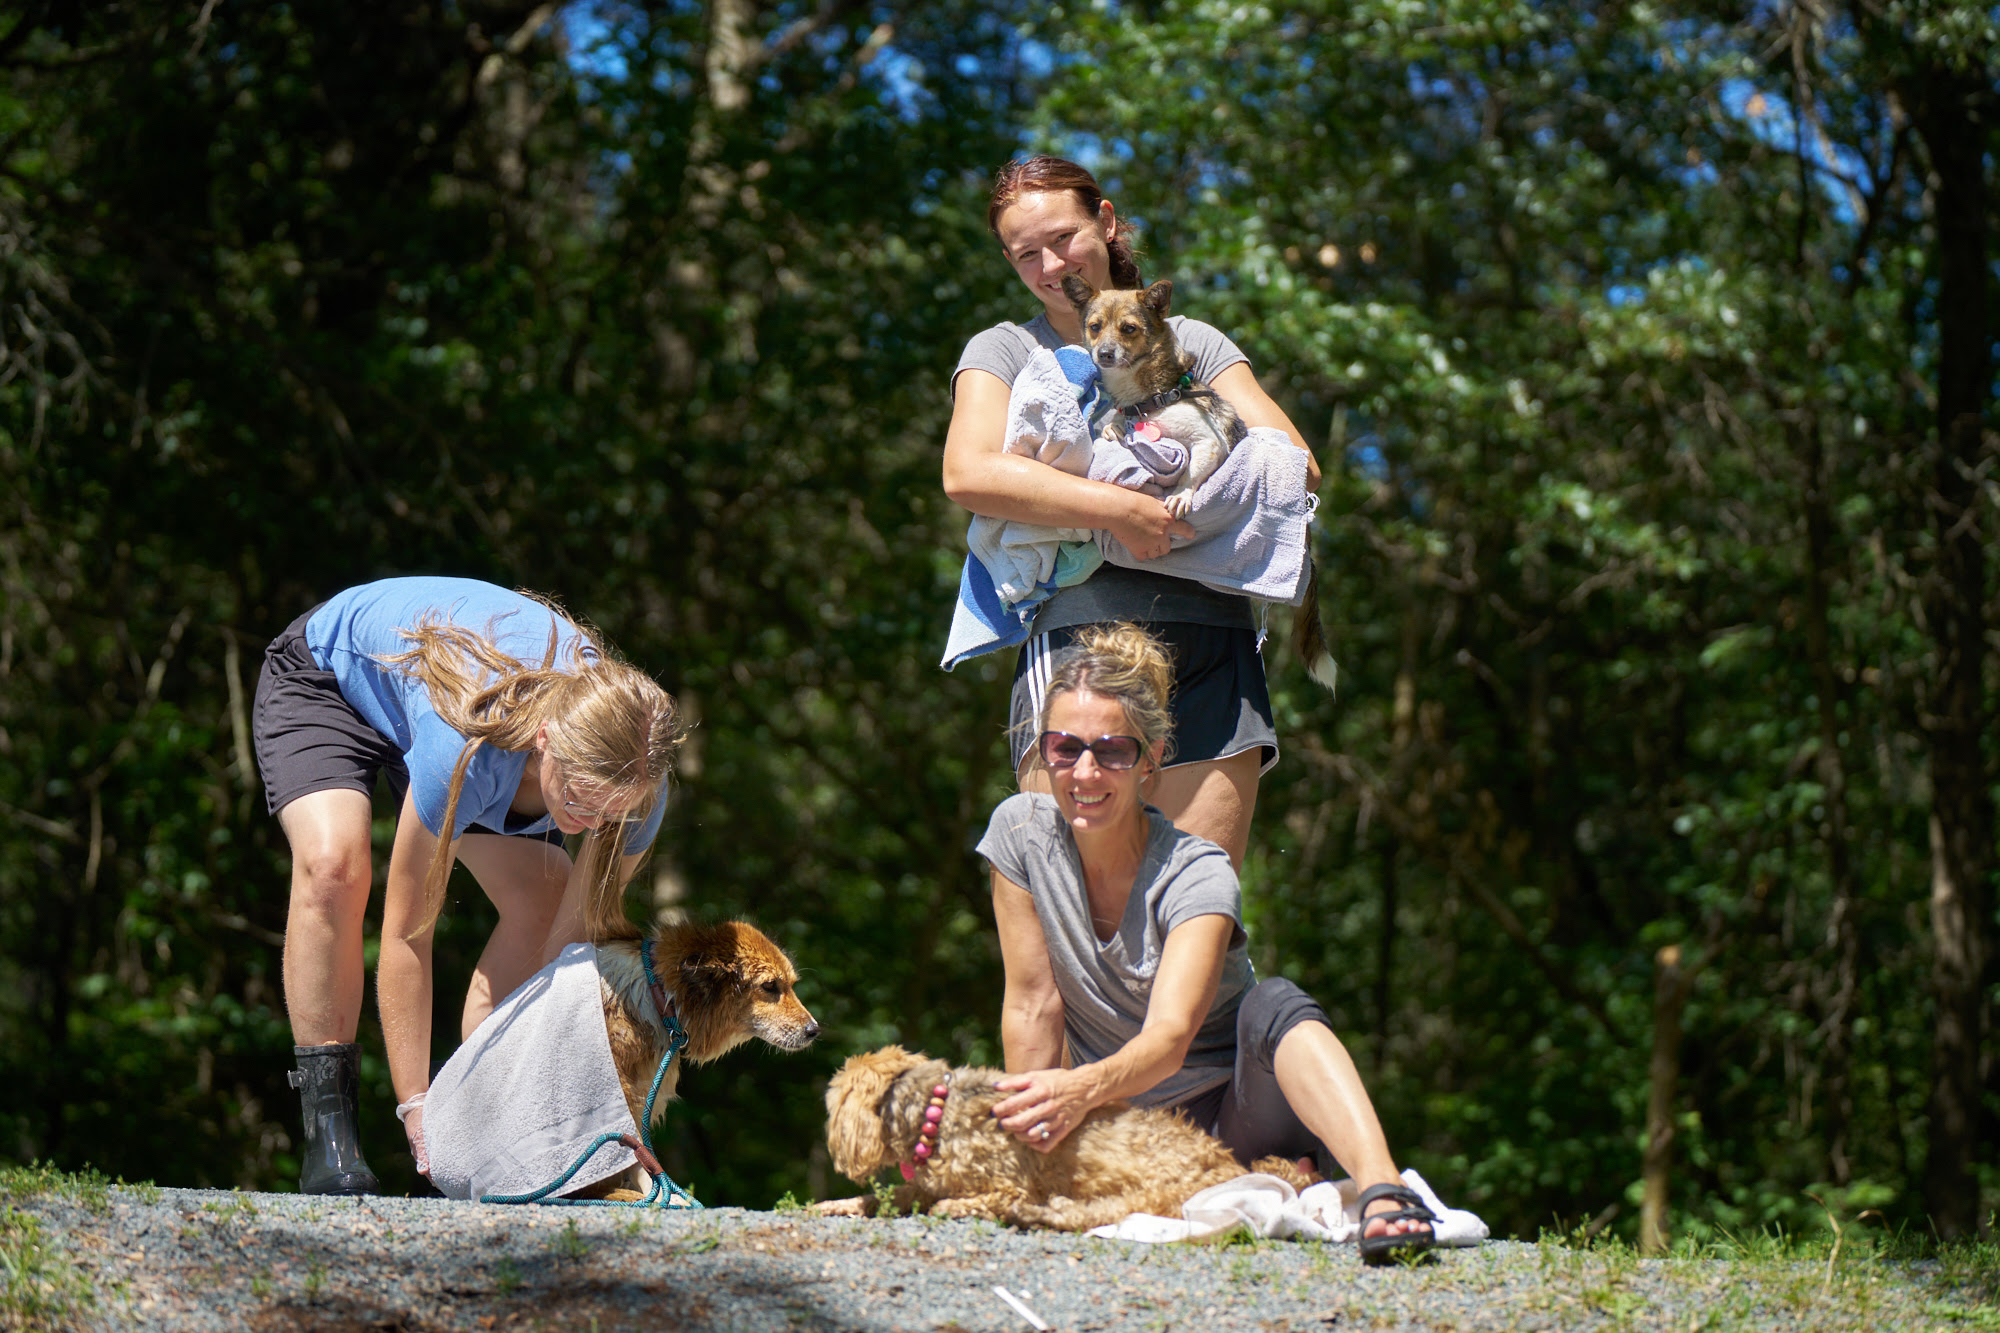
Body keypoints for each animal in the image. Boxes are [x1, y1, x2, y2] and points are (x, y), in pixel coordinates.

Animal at [580, 920, 820, 1200]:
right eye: (770, 986)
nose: (814, 1030)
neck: (659, 993)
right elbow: (632, 1151)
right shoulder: (616, 1090)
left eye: (791, 984)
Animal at [816, 1040, 1312, 1232]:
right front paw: (835, 1205)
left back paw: (1036, 1213)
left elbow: (952, 1202)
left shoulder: (1006, 1184)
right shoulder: (922, 1184)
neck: (935, 1112)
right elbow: (883, 1196)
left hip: (1157, 1191)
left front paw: (956, 1207)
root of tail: (1232, 1163)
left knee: (1095, 1215)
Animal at [1056, 270, 1336, 684]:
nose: (1103, 354)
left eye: (1128, 329)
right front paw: (1112, 430)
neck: (1152, 399)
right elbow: (1116, 429)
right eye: (1095, 327)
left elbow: (1191, 470)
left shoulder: (1209, 442)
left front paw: (1182, 494)